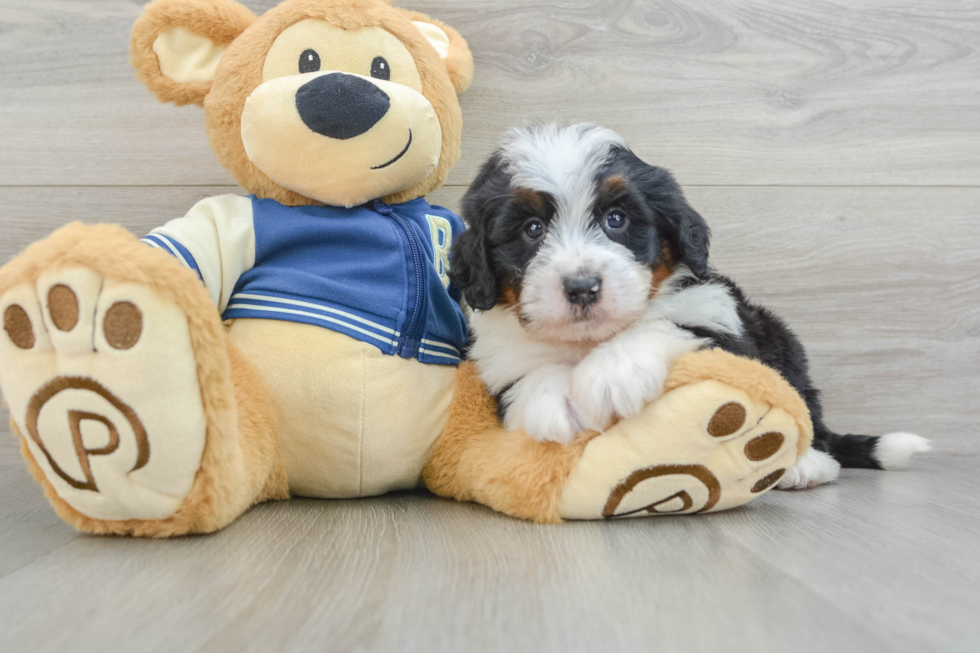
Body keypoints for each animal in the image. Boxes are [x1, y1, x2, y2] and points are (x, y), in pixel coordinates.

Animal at [448, 123, 932, 488]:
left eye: (616, 219)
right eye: (531, 229)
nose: (582, 287)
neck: (590, 341)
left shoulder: (720, 322)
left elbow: (668, 324)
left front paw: (613, 371)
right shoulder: (501, 358)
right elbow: (530, 373)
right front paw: (552, 400)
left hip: (783, 345)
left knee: (807, 414)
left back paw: (806, 464)